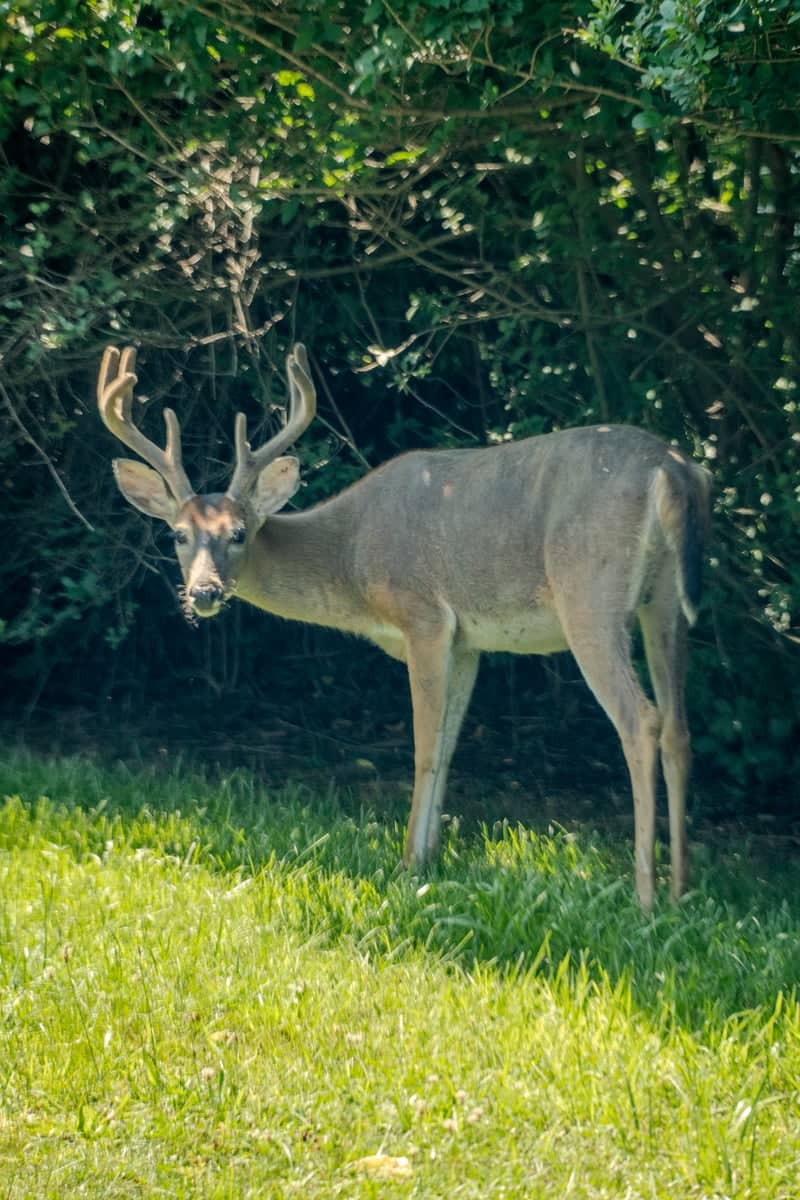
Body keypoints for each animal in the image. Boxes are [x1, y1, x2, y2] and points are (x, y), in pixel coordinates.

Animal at [97, 342, 710, 909]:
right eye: (178, 535)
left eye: (239, 533)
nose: (203, 593)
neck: (351, 558)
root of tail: (672, 467)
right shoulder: (468, 643)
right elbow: (450, 744)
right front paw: (433, 853)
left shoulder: (424, 617)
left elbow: (424, 747)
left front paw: (409, 863)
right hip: (663, 601)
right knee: (680, 726)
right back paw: (682, 888)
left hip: (588, 589)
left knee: (642, 720)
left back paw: (645, 894)